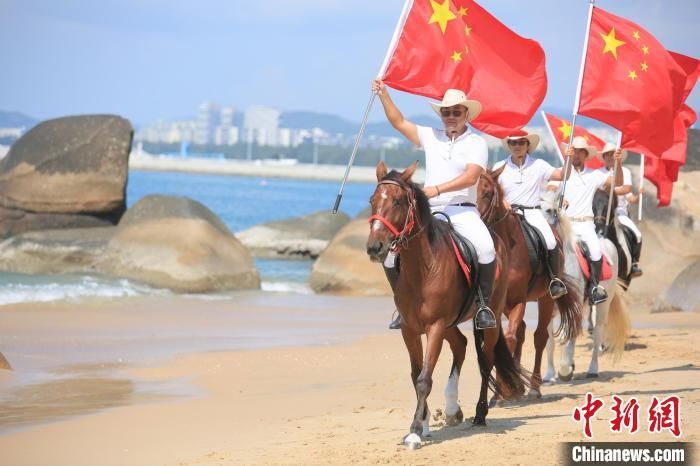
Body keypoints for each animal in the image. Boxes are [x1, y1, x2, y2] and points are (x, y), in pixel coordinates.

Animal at [366, 162, 524, 450]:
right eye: (372, 201)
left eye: (397, 201)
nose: (375, 247)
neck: (422, 268)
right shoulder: (410, 329)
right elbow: (415, 374)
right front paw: (424, 423)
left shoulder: (435, 327)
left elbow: (424, 378)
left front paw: (415, 431)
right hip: (451, 322)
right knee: (461, 344)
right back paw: (452, 409)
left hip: (490, 320)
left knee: (487, 360)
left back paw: (480, 414)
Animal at [478, 165, 584, 400]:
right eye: (474, 191)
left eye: (487, 193)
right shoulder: (501, 303)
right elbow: (506, 339)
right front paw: (503, 391)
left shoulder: (519, 300)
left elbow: (510, 338)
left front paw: (503, 390)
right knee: (522, 332)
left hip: (546, 299)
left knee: (539, 337)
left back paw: (534, 386)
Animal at [540, 190, 632, 382]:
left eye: (550, 210)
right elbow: (550, 342)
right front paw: (550, 375)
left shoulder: (574, 307)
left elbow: (569, 338)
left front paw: (564, 370)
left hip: (602, 305)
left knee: (597, 335)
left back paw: (592, 369)